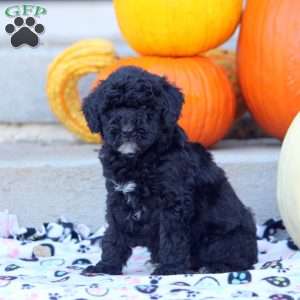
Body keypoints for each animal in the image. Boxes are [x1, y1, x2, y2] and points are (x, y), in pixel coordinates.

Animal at [82, 66, 258, 274]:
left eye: (145, 107)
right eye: (111, 109)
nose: (127, 130)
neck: (138, 160)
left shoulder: (173, 200)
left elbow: (171, 236)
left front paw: (170, 269)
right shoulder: (117, 196)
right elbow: (114, 234)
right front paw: (105, 266)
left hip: (223, 239)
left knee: (237, 258)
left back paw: (212, 267)